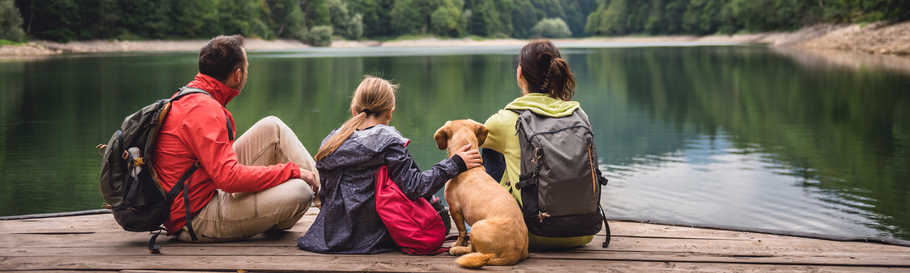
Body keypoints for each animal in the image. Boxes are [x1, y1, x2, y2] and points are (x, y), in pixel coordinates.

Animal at [436, 119, 532, 268]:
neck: (469, 168)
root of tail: (513, 254)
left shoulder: (454, 208)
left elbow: (461, 231)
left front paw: (457, 244)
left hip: (476, 227)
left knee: (472, 249)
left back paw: (457, 250)